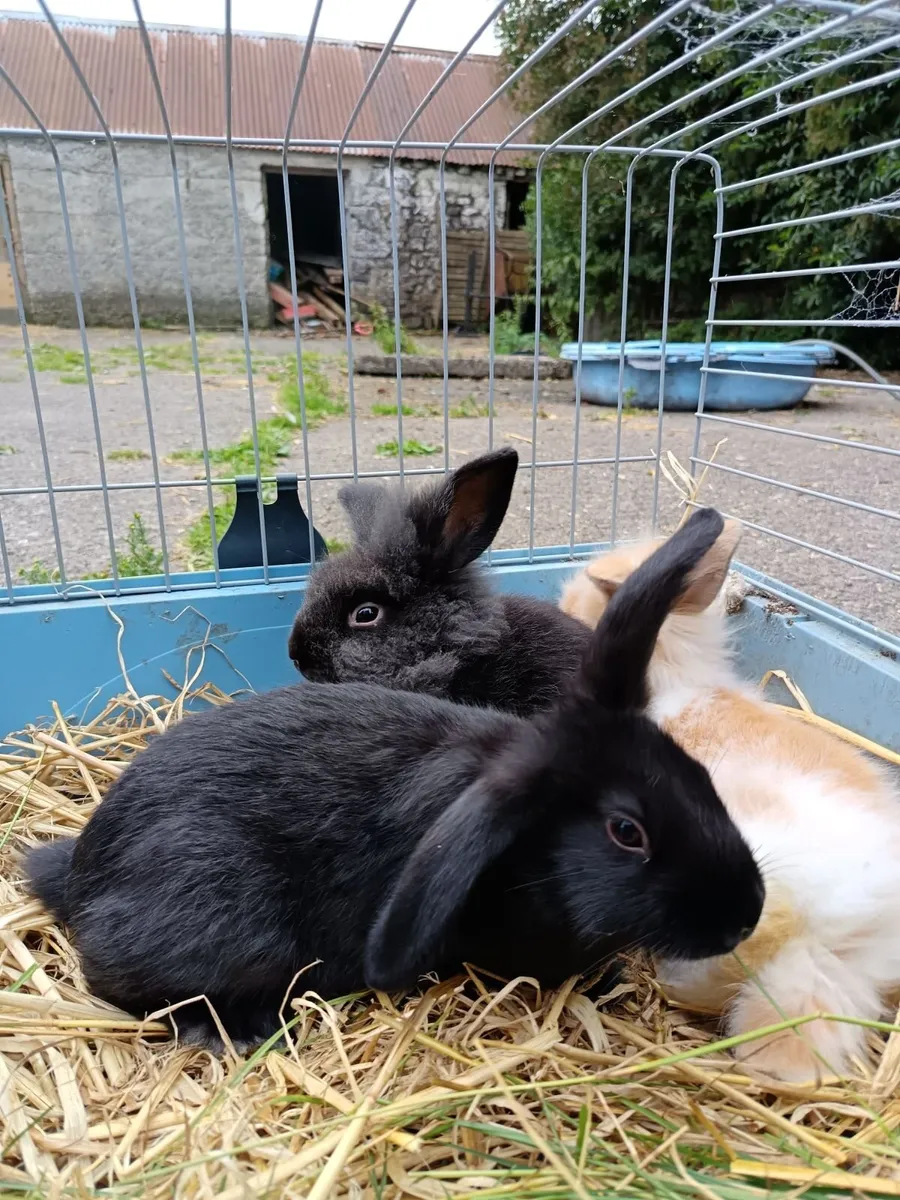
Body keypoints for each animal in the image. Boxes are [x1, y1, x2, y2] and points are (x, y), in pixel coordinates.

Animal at [26, 508, 763, 1053]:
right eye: (626, 832)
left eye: (698, 776)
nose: (745, 915)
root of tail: (83, 872)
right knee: (122, 985)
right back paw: (232, 1031)